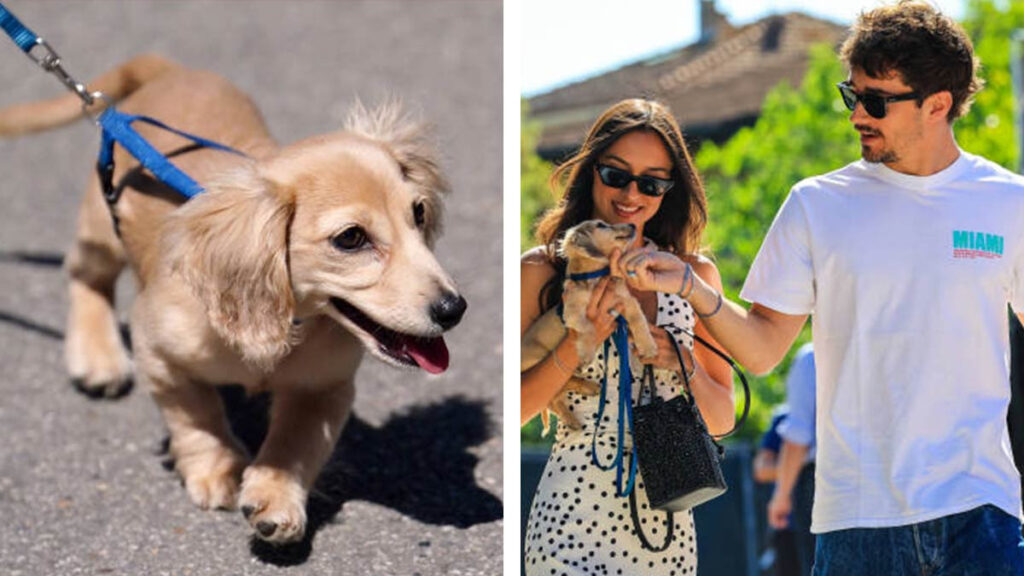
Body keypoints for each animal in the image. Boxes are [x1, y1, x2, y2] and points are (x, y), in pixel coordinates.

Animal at [1, 54, 468, 541]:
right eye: (351, 238)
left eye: (418, 212)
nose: (454, 309)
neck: (288, 323)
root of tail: (169, 69)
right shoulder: (158, 354)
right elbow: (196, 415)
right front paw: (218, 469)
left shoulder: (326, 387)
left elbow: (294, 444)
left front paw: (276, 497)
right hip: (102, 229)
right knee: (83, 276)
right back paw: (97, 357)